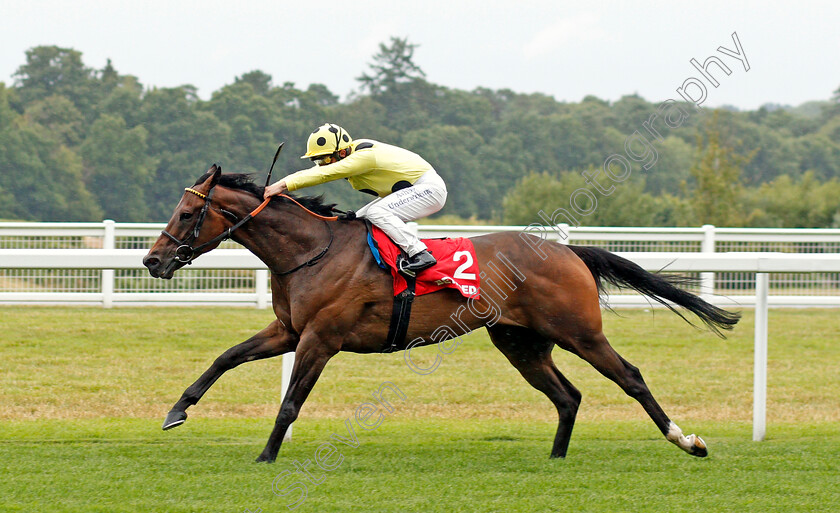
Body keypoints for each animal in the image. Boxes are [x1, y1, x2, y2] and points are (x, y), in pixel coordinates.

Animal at [141, 166, 740, 462]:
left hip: (579, 332)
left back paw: (688, 441)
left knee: (631, 377)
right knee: (567, 395)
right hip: (520, 342)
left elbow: (291, 403)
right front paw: (177, 410)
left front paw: (266, 457)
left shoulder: (320, 338)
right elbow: (225, 358)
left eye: (188, 212)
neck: (311, 250)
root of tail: (568, 251)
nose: (152, 260)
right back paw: (555, 458)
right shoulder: (289, 330)